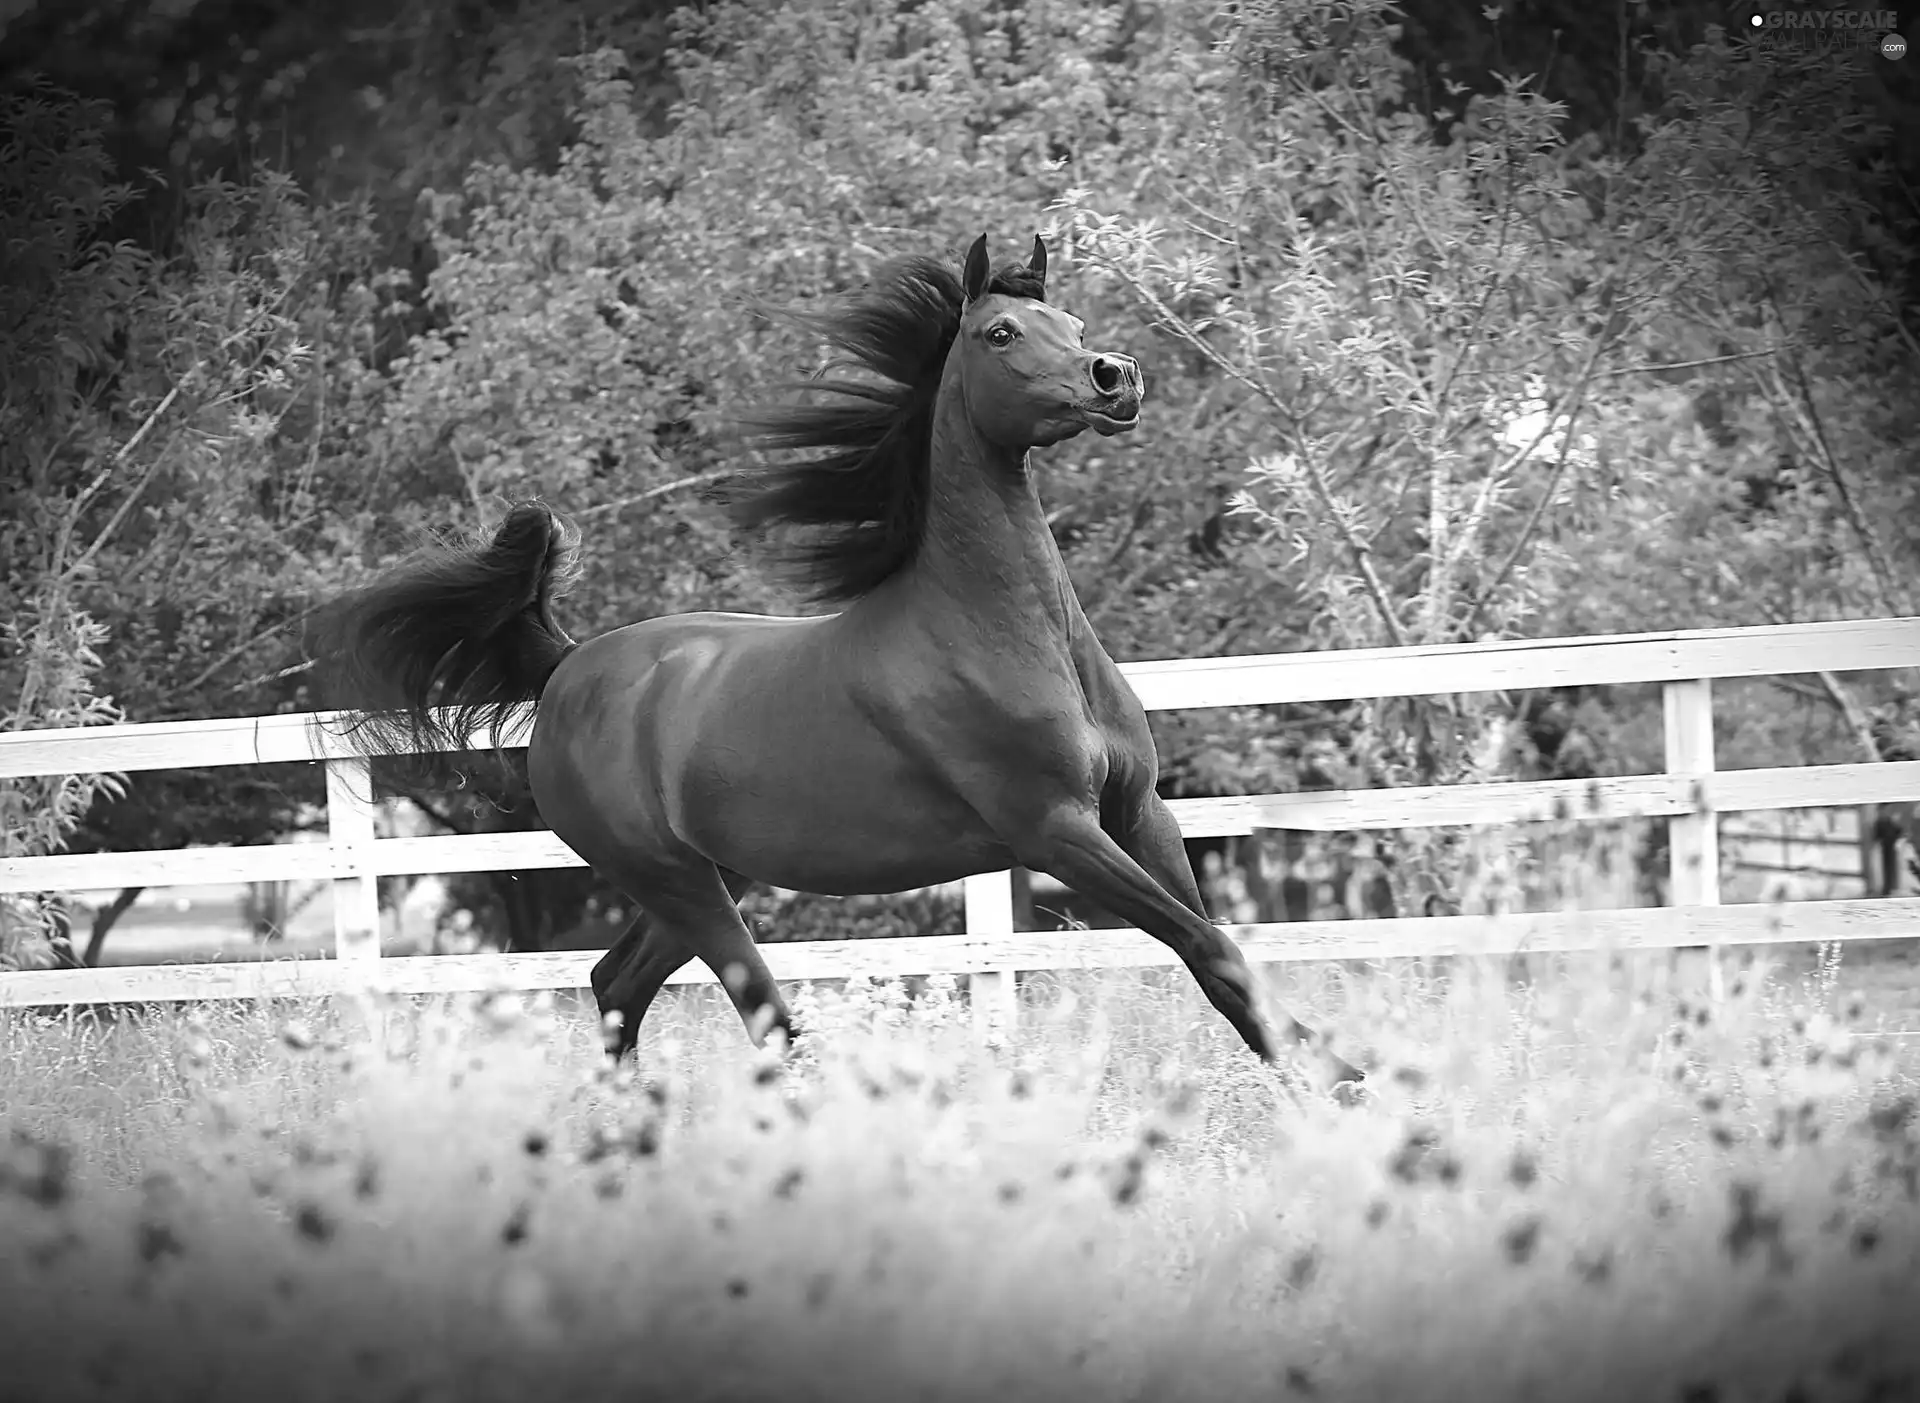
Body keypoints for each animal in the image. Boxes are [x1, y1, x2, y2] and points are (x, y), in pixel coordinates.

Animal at [311, 233, 1367, 1097]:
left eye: (1071, 323)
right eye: (1000, 332)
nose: (1116, 378)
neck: (1000, 629)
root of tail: (569, 669)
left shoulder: (1139, 812)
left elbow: (1217, 952)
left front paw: (1319, 1075)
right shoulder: (1054, 829)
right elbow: (1205, 941)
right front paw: (1345, 1073)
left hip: (701, 876)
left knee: (616, 984)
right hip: (676, 879)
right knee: (761, 1014)